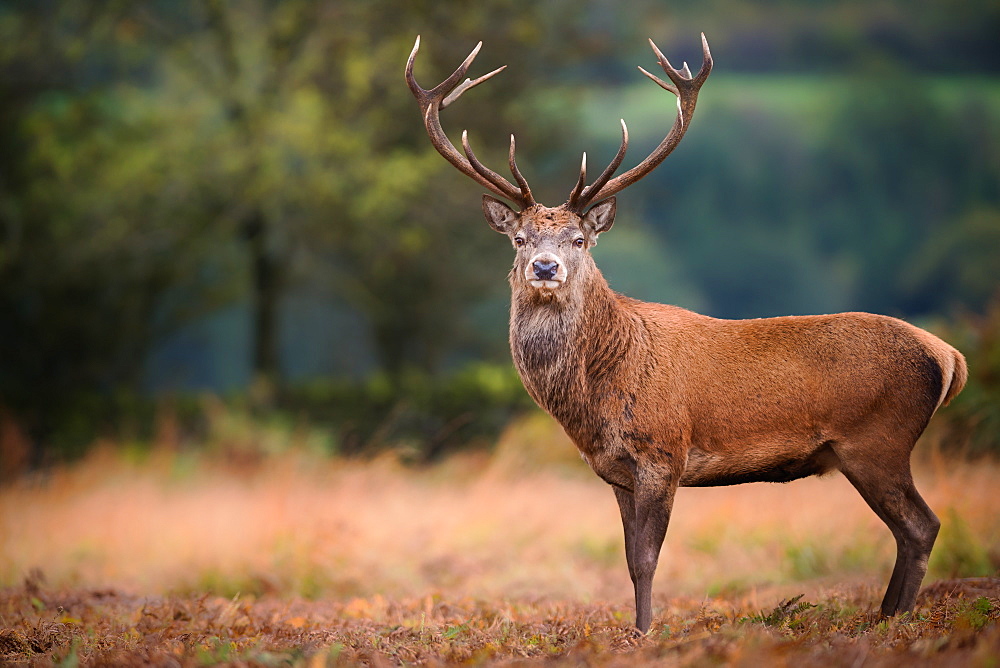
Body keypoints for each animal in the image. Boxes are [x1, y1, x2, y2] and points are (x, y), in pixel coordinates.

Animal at [404, 35, 968, 632]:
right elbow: (629, 558)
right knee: (912, 528)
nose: (545, 267)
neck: (596, 396)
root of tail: (948, 356)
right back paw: (883, 616)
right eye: (520, 239)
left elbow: (648, 559)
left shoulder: (663, 451)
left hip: (879, 439)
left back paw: (895, 620)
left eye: (579, 239)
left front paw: (645, 631)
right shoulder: (615, 470)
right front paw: (635, 627)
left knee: (922, 525)